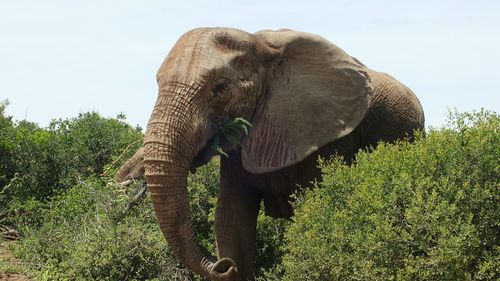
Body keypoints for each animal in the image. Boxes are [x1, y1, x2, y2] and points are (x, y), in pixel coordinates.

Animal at [116, 27, 422, 280]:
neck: (260, 44)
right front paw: (233, 261)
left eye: (220, 88)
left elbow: (314, 212)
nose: (222, 266)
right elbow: (231, 218)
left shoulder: (332, 135)